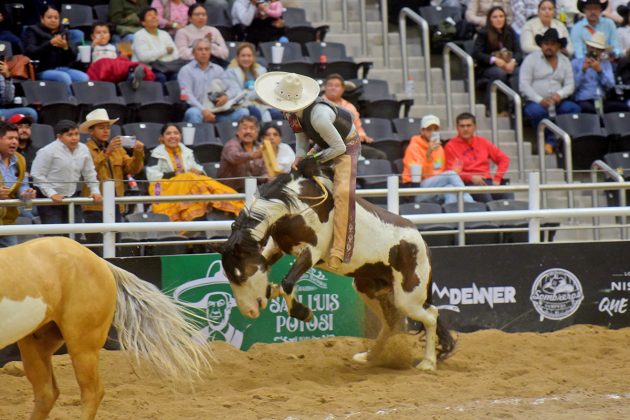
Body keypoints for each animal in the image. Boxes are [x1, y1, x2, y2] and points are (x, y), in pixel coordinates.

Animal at [221, 158, 454, 370]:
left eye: (242, 275)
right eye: (230, 276)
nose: (249, 312)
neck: (293, 204)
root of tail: (421, 241)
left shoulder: (312, 251)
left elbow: (287, 283)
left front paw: (302, 311)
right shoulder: (275, 247)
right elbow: (272, 272)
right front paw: (272, 290)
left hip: (409, 296)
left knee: (431, 316)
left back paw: (427, 363)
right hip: (369, 288)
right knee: (391, 323)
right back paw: (369, 356)